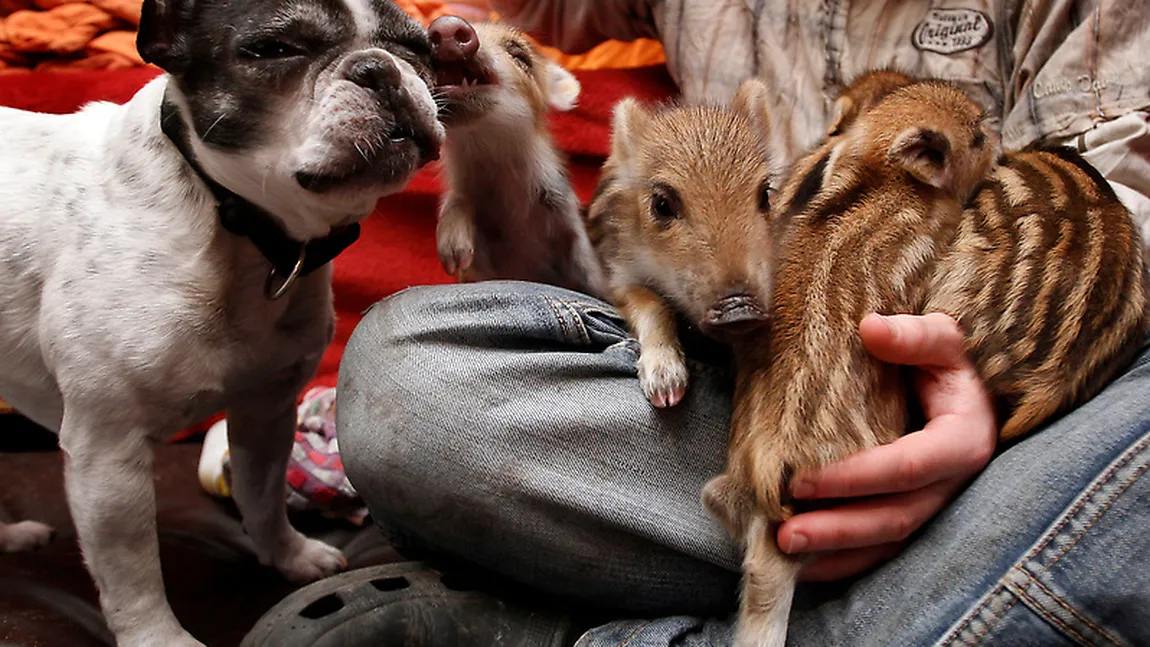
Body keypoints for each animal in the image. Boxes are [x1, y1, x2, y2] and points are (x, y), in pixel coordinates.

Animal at [0, 0, 464, 643]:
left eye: (417, 48)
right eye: (272, 50)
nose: (379, 69)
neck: (239, 224)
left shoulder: (265, 411)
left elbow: (261, 495)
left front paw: (289, 556)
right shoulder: (107, 452)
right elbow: (131, 568)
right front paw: (158, 637)